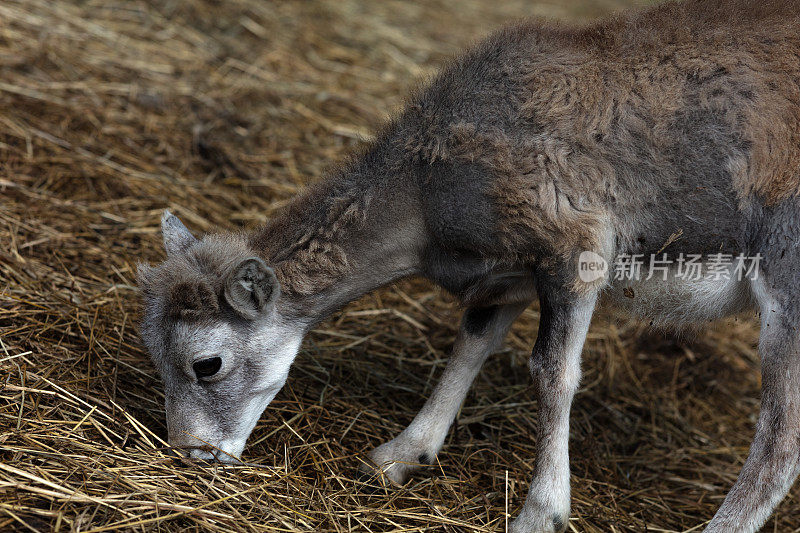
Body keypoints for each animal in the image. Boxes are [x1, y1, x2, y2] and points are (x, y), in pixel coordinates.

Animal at [139, 2, 800, 528]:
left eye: (206, 363)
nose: (190, 452)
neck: (424, 195)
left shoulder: (576, 245)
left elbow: (553, 373)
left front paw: (540, 513)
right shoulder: (506, 276)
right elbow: (471, 344)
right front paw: (398, 456)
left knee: (781, 436)